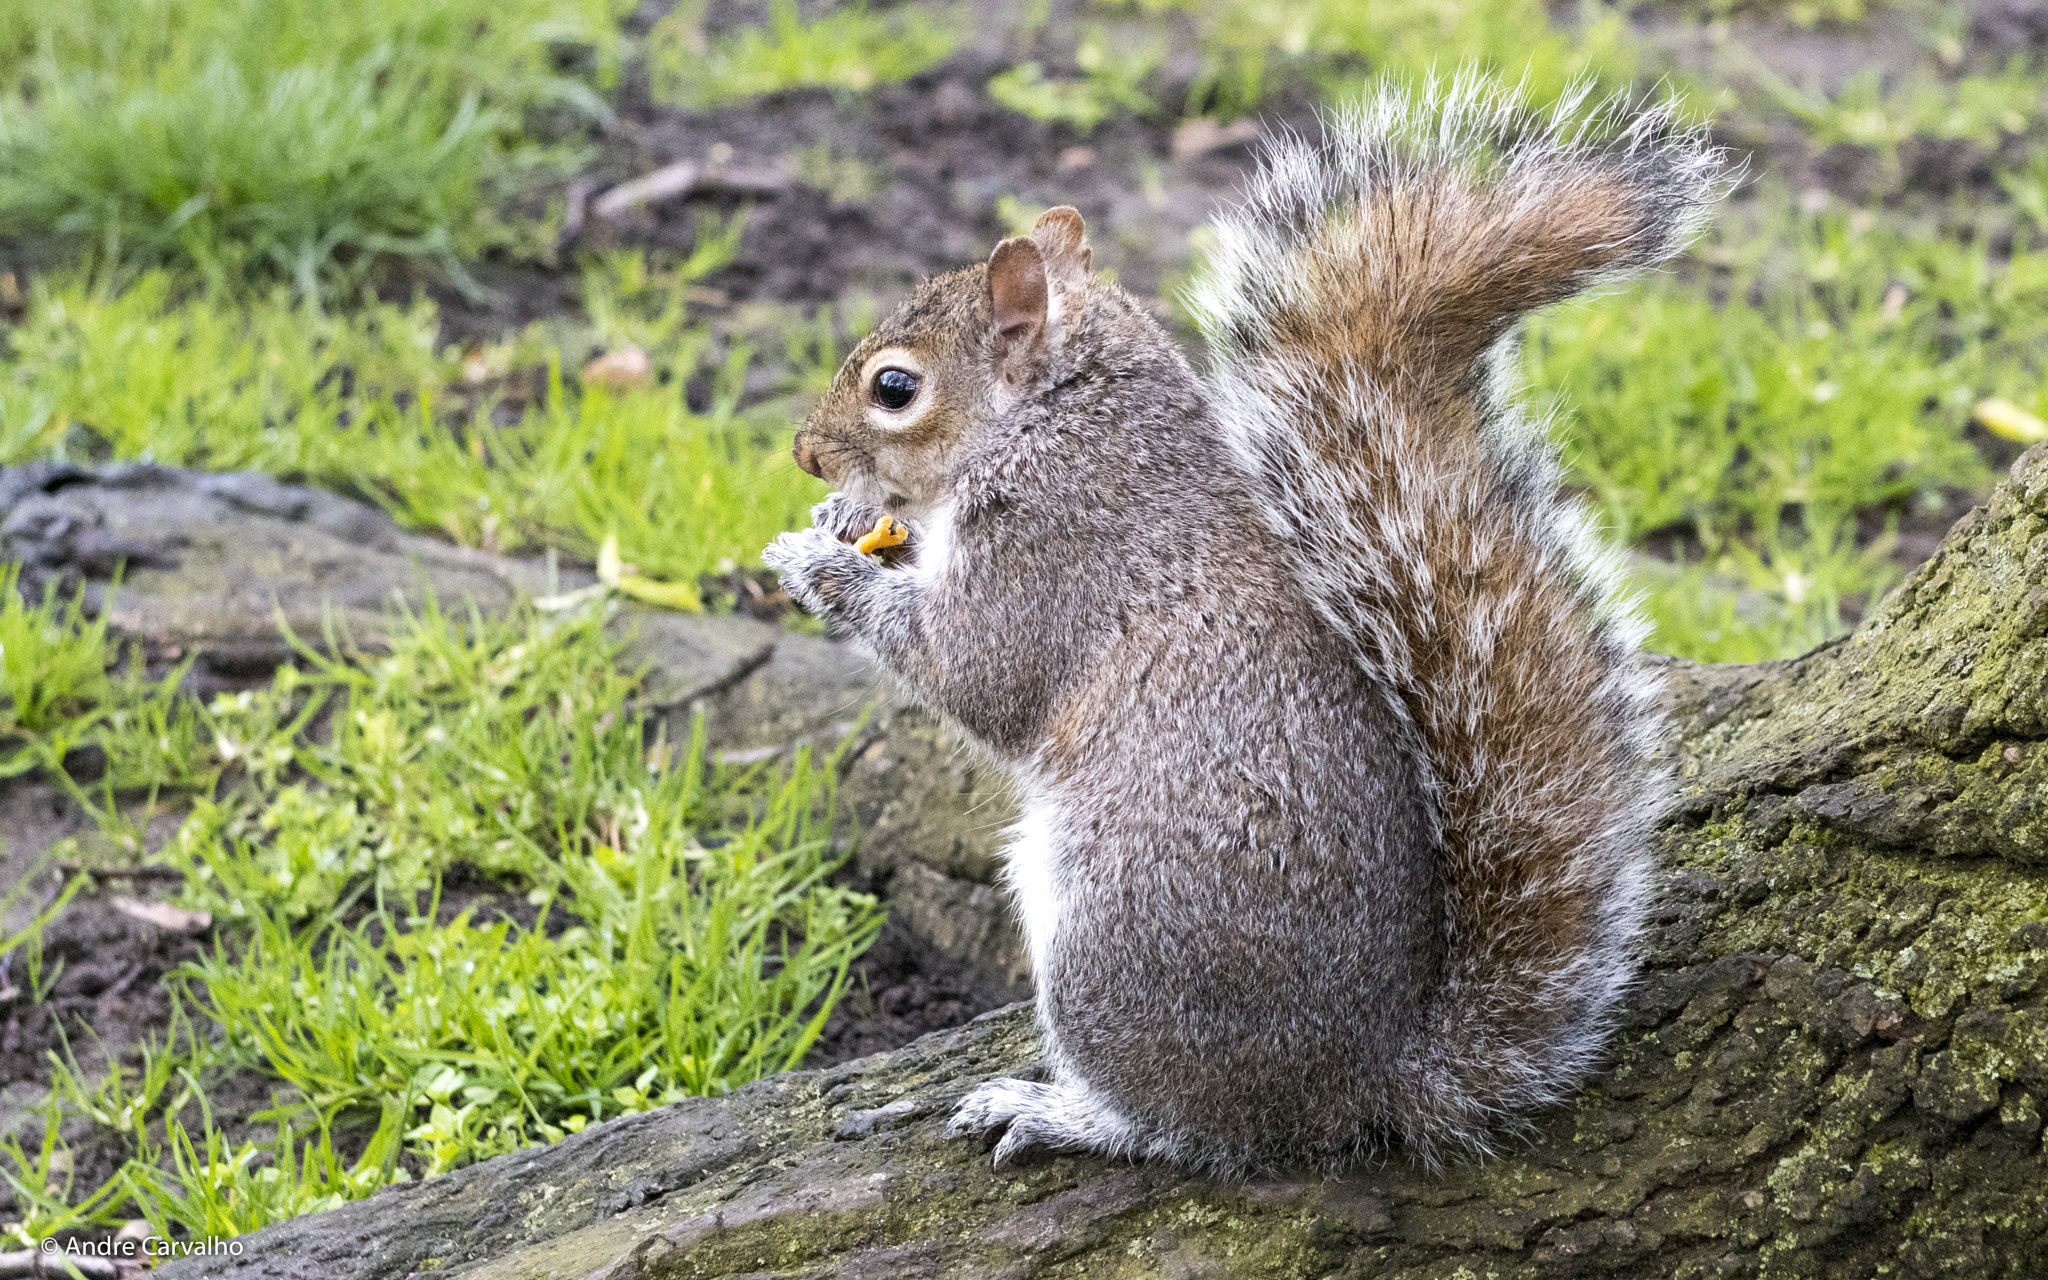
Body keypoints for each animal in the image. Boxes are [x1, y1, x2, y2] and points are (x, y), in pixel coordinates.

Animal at [763, 77, 1727, 1175]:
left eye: (895, 387)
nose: (802, 453)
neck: (1056, 419)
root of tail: (1356, 1082)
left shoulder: (1053, 551)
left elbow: (976, 671)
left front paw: (816, 561)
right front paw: (840, 523)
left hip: (1115, 936)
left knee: (1187, 1126)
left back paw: (1066, 1111)